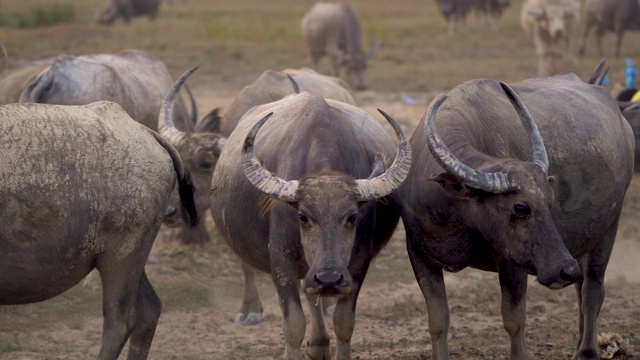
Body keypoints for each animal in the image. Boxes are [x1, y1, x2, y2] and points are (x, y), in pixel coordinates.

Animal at [208, 82, 412, 358]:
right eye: (303, 217)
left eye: (352, 217)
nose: (329, 279)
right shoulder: (281, 261)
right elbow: (294, 325)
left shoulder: (358, 264)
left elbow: (344, 322)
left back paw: (319, 344)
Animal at [396, 74, 636, 358]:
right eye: (520, 207)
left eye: (549, 201)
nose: (565, 270)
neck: (453, 218)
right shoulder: (420, 256)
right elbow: (438, 322)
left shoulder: (512, 261)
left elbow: (514, 320)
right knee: (581, 287)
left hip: (608, 229)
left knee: (592, 289)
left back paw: (587, 350)